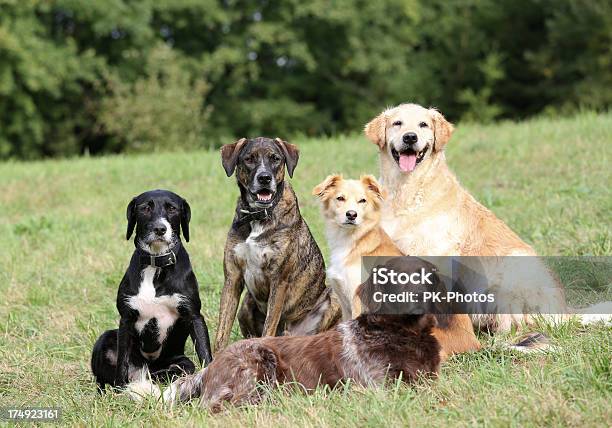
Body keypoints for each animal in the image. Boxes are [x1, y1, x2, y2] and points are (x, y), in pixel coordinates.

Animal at [91, 191, 213, 392]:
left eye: (172, 208)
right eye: (145, 208)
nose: (159, 229)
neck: (155, 264)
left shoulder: (194, 315)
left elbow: (205, 353)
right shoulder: (126, 319)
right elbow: (122, 361)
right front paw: (121, 389)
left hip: (181, 361)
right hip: (106, 338)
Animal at [214, 136, 340, 352]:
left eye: (275, 159)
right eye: (249, 159)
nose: (264, 178)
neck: (258, 216)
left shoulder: (279, 280)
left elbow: (268, 327)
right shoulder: (232, 278)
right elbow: (221, 334)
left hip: (334, 299)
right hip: (245, 305)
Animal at [314, 174, 480, 362]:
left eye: (362, 200)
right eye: (340, 198)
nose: (351, 215)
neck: (353, 242)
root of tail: (471, 338)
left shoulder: (358, 301)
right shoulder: (344, 302)